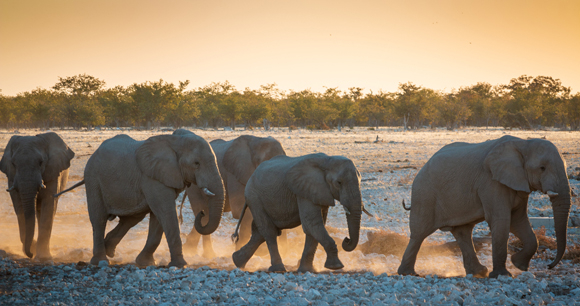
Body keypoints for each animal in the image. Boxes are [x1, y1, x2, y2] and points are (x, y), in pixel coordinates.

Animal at [0, 131, 75, 260]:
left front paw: (43, 257)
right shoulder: (11, 176)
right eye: (13, 164)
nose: (30, 254)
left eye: (41, 163)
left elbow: (49, 204)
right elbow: (19, 207)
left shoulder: (53, 172)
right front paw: (33, 249)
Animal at [84, 131, 224, 268]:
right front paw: (180, 264)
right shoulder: (152, 178)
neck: (176, 140)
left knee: (132, 219)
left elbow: (158, 217)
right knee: (99, 219)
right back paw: (100, 261)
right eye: (196, 163)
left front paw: (146, 263)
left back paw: (109, 249)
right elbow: (166, 212)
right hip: (93, 180)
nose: (202, 212)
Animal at [232, 153, 362, 272]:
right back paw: (278, 269)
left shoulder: (319, 192)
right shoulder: (304, 191)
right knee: (269, 231)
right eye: (339, 182)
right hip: (254, 198)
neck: (327, 160)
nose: (346, 239)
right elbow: (312, 224)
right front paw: (335, 266)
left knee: (260, 233)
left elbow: (314, 227)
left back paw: (237, 261)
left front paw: (307, 270)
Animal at [398, 135, 572, 278]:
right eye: (542, 168)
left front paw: (519, 265)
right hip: (424, 193)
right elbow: (501, 219)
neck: (523, 143)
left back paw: (479, 272)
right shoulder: (491, 182)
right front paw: (502, 275)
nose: (549, 266)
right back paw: (407, 273)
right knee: (419, 233)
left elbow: (519, 220)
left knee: (462, 232)